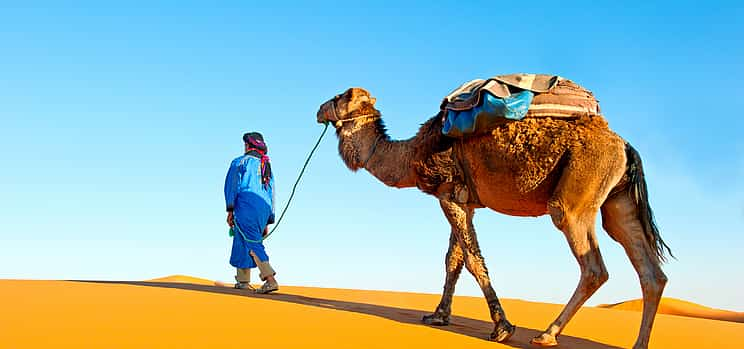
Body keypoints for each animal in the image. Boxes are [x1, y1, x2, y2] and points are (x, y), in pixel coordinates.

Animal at [314, 79, 676, 348]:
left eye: (340, 96)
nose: (318, 110)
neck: (412, 156)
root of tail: (626, 147)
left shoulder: (449, 194)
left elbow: (472, 260)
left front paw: (502, 327)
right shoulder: (466, 201)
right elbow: (454, 260)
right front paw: (438, 316)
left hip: (576, 193)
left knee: (593, 265)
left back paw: (546, 334)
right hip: (617, 200)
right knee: (649, 271)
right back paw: (638, 344)